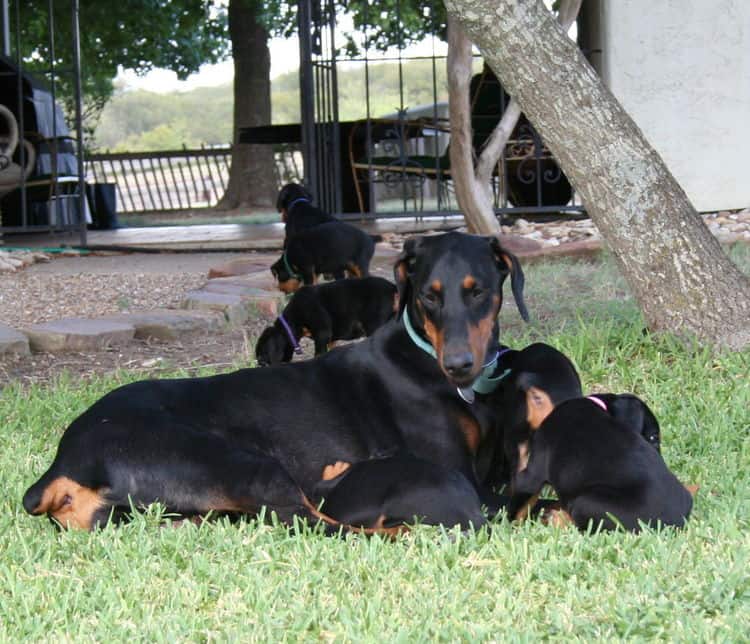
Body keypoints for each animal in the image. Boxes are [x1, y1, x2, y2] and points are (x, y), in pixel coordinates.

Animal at [256, 276, 400, 368]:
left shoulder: (322, 333)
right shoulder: (330, 339)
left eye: (262, 357)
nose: (259, 365)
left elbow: (318, 354)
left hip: (374, 325)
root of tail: (392, 288)